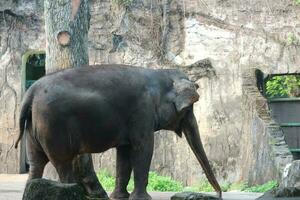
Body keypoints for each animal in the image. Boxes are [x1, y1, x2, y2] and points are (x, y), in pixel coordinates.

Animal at [15, 65, 223, 199]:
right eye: (188, 110)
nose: (219, 194)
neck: (160, 73)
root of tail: (31, 92)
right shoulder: (142, 111)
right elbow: (143, 149)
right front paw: (141, 198)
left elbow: (123, 154)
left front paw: (120, 196)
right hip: (53, 125)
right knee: (63, 163)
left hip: (34, 126)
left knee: (37, 162)